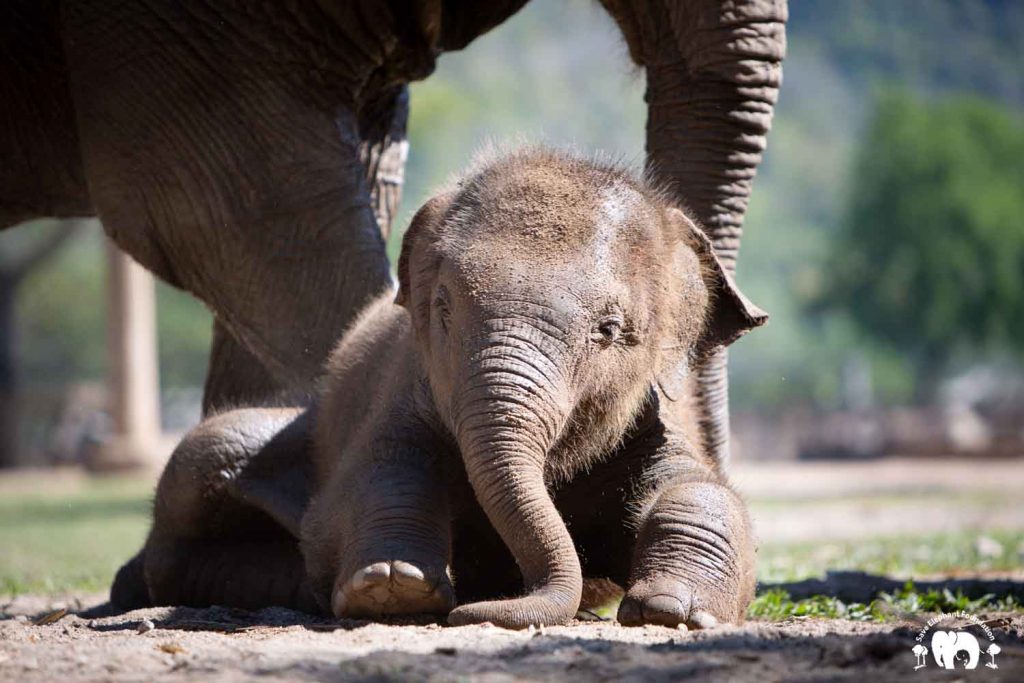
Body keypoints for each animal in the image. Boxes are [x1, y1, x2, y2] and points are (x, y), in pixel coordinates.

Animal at [112, 148, 770, 630]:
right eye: (444, 308)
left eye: (610, 331)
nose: (477, 610)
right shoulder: (410, 384)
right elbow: (381, 472)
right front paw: (393, 588)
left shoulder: (654, 414)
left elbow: (699, 488)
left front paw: (671, 612)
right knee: (210, 452)